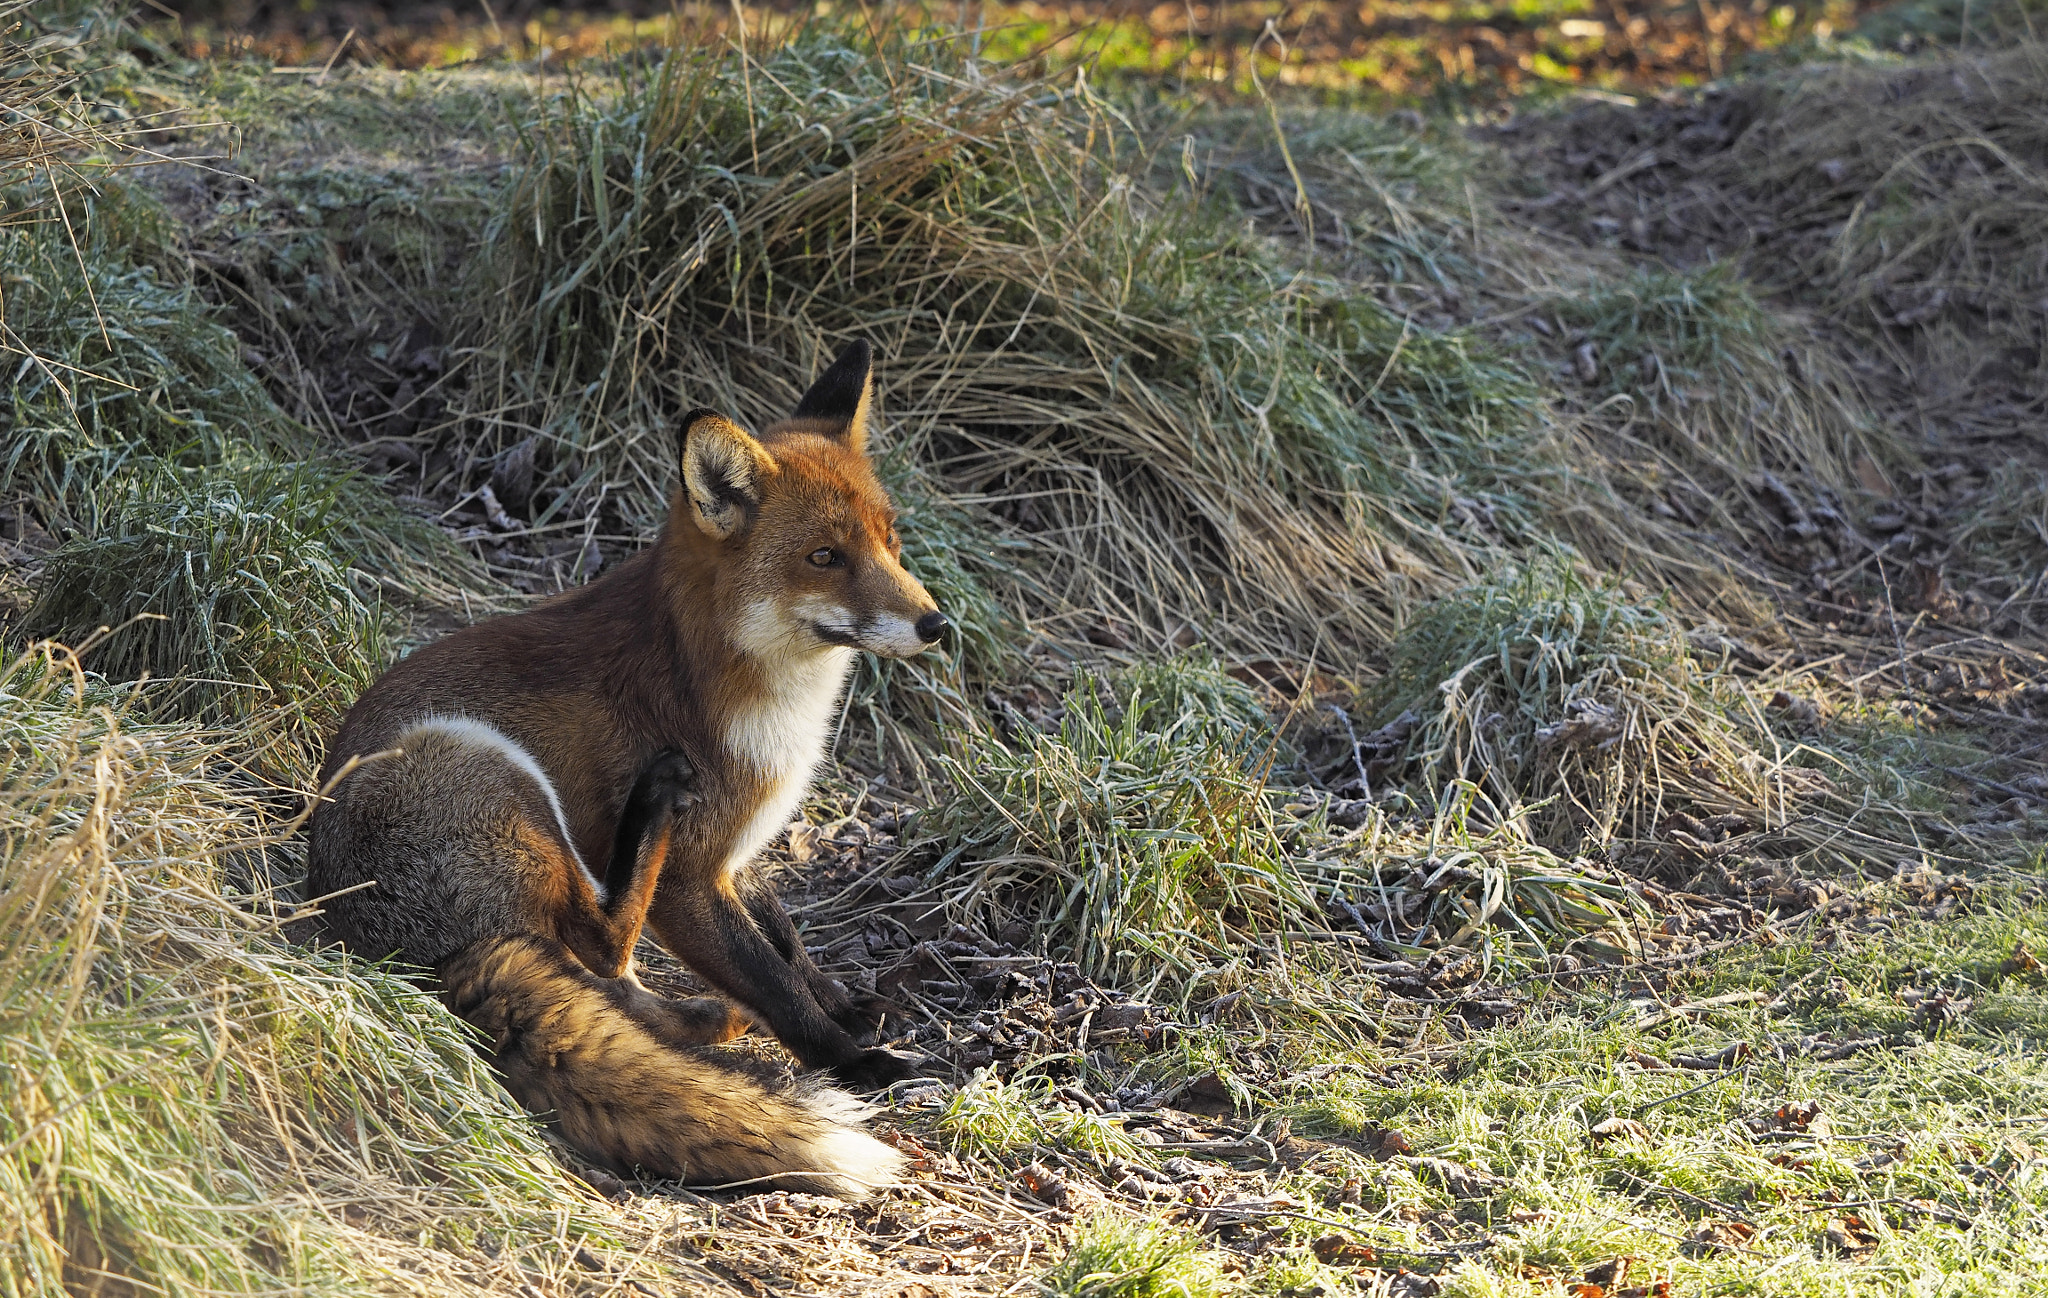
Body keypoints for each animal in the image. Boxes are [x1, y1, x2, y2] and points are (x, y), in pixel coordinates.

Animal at [303, 341, 942, 1195]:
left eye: (890, 540)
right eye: (824, 558)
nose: (935, 624)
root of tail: (410, 956)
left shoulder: (739, 857)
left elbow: (786, 946)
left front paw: (842, 1005)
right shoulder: (692, 880)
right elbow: (772, 980)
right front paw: (855, 1060)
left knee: (617, 988)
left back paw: (707, 1021)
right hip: (491, 768)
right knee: (602, 938)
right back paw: (655, 809)